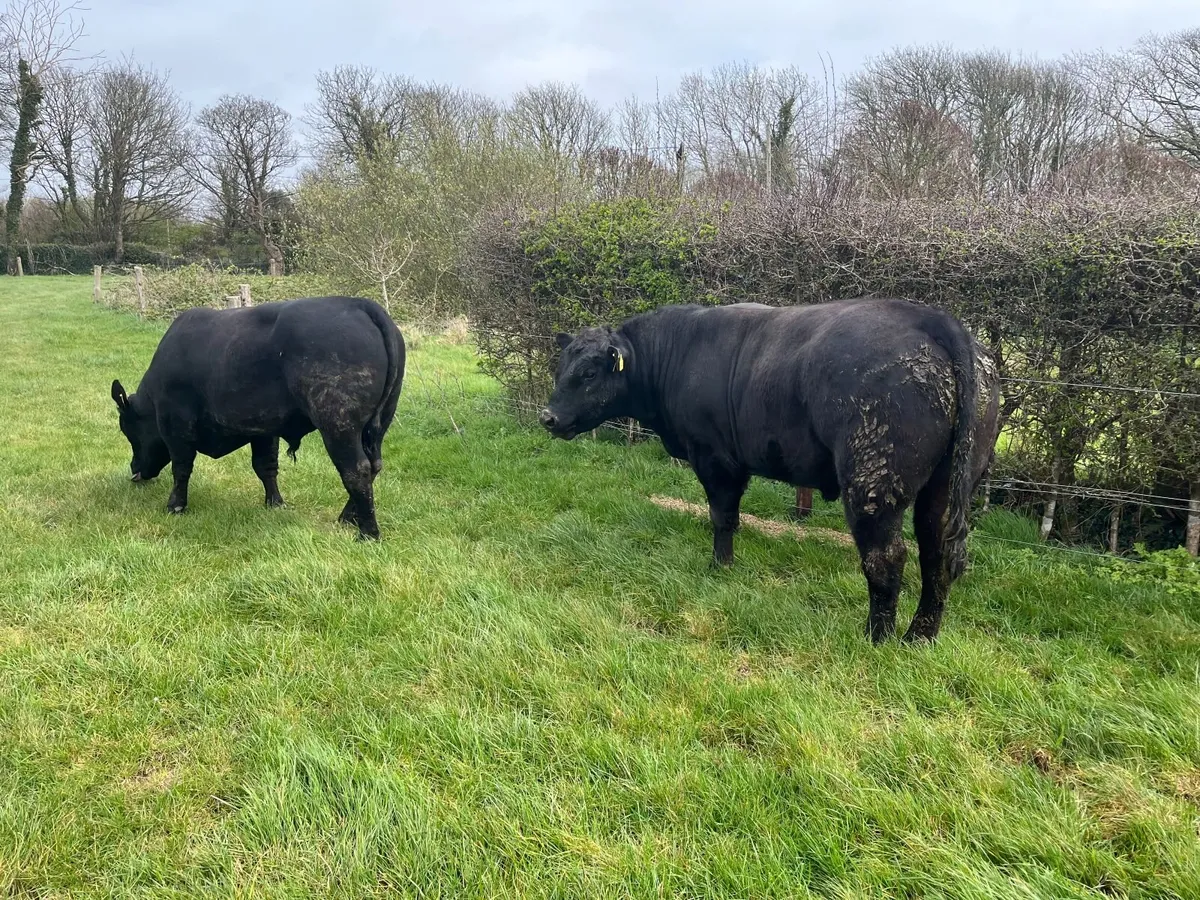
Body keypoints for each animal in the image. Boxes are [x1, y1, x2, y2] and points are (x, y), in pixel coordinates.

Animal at [110, 295, 405, 540]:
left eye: (129, 431)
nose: (134, 469)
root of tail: (358, 303)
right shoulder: (263, 430)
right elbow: (266, 466)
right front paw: (275, 503)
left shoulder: (176, 426)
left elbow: (181, 468)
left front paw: (176, 506)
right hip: (377, 424)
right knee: (374, 465)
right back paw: (348, 518)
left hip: (338, 422)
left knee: (356, 469)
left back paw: (368, 533)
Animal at [540, 297, 1001, 643]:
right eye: (560, 368)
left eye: (588, 372)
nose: (548, 417)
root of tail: (933, 319)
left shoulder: (715, 458)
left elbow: (722, 517)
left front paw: (719, 568)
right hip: (945, 486)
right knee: (936, 555)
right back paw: (918, 638)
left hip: (873, 481)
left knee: (886, 557)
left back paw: (876, 637)